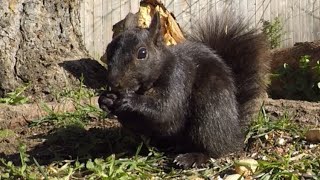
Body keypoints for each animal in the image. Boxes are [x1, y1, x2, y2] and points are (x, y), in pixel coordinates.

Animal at [97, 9, 270, 168]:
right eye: (109, 48)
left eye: (142, 53)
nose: (113, 82)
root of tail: (233, 131)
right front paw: (106, 99)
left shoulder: (178, 78)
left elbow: (166, 110)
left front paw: (131, 100)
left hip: (210, 113)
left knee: (213, 149)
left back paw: (191, 157)